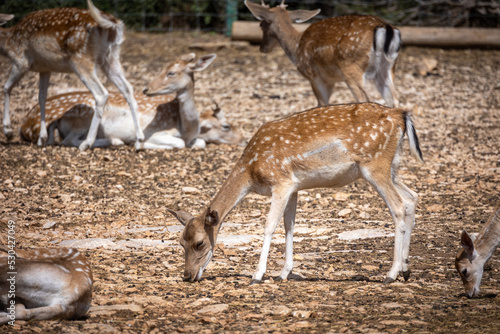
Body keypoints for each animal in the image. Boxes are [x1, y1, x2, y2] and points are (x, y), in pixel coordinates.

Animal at [0, 0, 145, 150]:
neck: (7, 42)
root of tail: (114, 24)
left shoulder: (20, 61)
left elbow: (6, 87)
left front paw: (8, 131)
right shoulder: (45, 68)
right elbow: (42, 97)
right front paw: (42, 138)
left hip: (80, 59)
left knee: (101, 94)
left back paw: (87, 143)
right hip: (111, 58)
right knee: (127, 88)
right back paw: (139, 141)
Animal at [20, 53, 244, 149]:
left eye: (171, 72)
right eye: (226, 126)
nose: (243, 139)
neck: (187, 127)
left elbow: (200, 143)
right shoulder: (157, 131)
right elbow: (179, 144)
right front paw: (141, 144)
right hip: (83, 118)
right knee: (69, 140)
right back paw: (116, 141)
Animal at [168, 102, 422, 284]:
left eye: (199, 243)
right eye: (180, 242)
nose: (187, 275)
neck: (251, 170)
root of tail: (401, 115)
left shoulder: (280, 182)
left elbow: (270, 225)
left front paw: (257, 275)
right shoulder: (294, 187)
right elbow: (289, 225)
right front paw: (283, 273)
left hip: (375, 165)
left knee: (398, 206)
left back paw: (390, 274)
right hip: (392, 167)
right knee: (412, 198)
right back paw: (406, 270)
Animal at [246, 0, 402, 107]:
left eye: (261, 24)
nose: (263, 48)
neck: (296, 47)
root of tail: (385, 27)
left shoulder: (313, 75)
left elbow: (322, 104)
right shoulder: (330, 79)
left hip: (351, 66)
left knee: (364, 99)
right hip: (387, 67)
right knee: (394, 100)